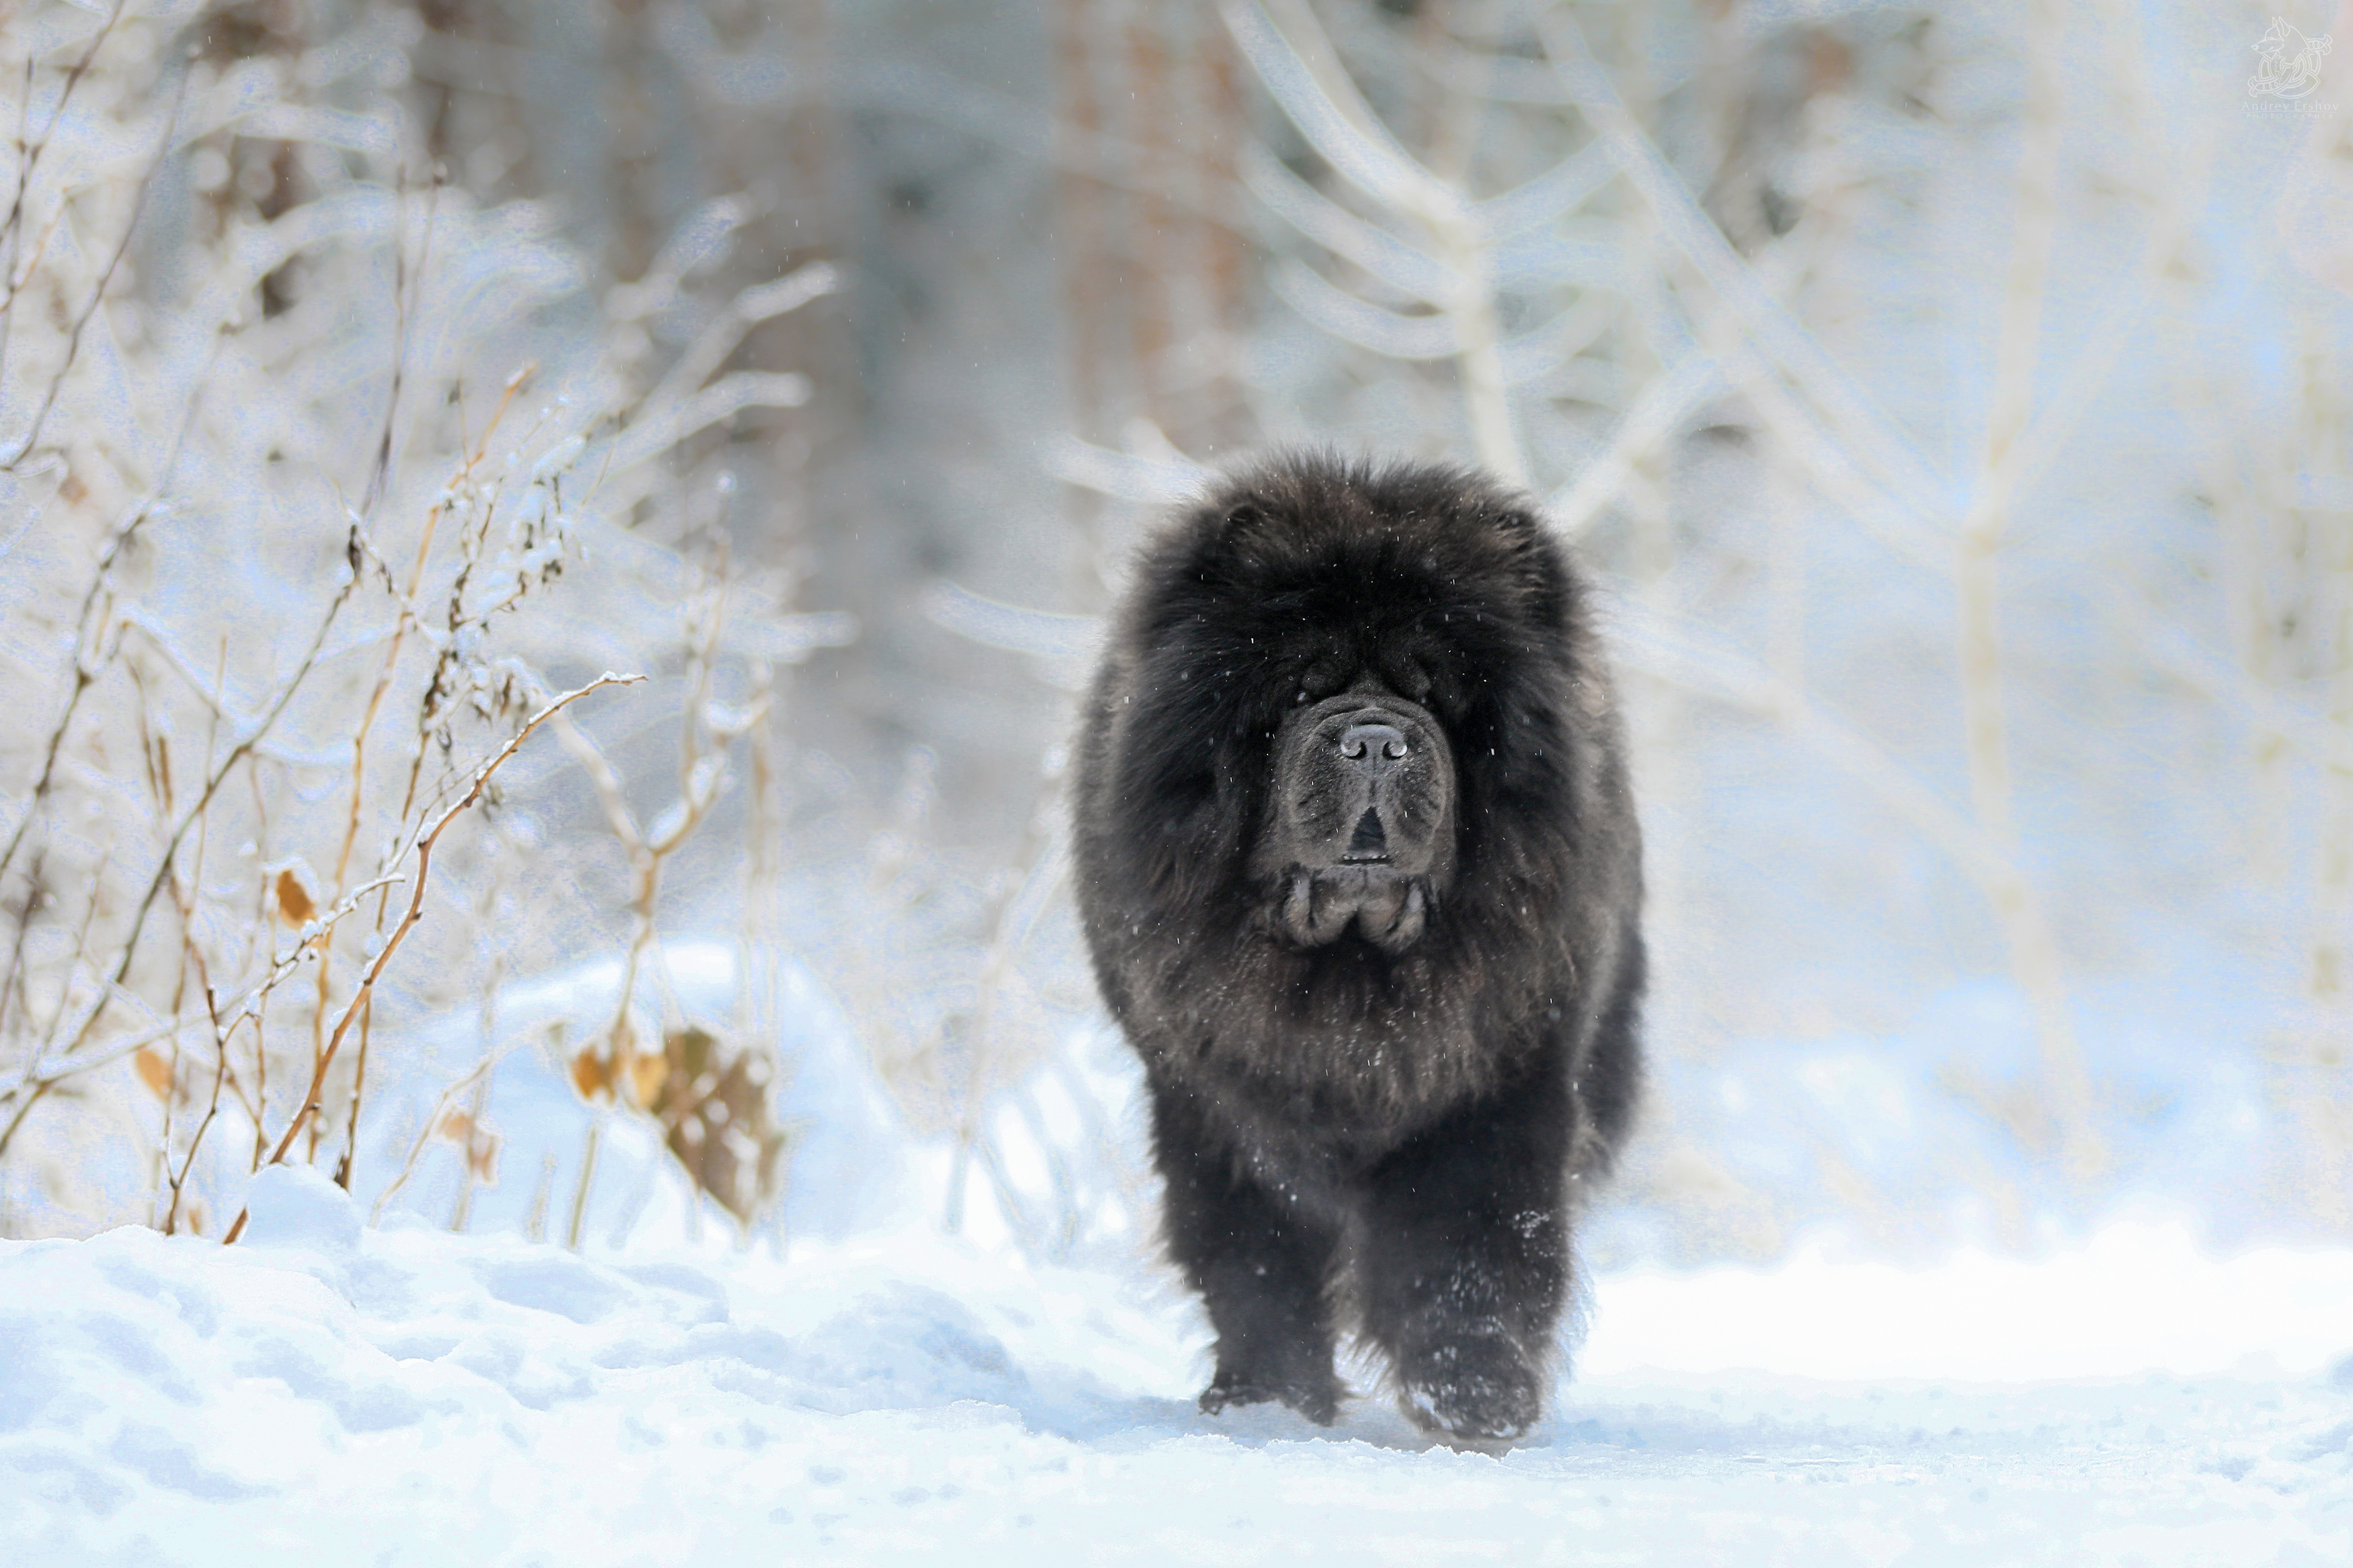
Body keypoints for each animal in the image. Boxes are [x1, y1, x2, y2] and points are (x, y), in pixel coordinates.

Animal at [1078, 451, 1647, 1448]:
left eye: (1431, 696)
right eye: (1302, 691)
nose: (1376, 738)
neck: (1347, 982)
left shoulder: (1497, 1091)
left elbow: (1469, 1249)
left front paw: (1473, 1397)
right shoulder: (1214, 1106)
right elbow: (1252, 1259)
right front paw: (1267, 1402)